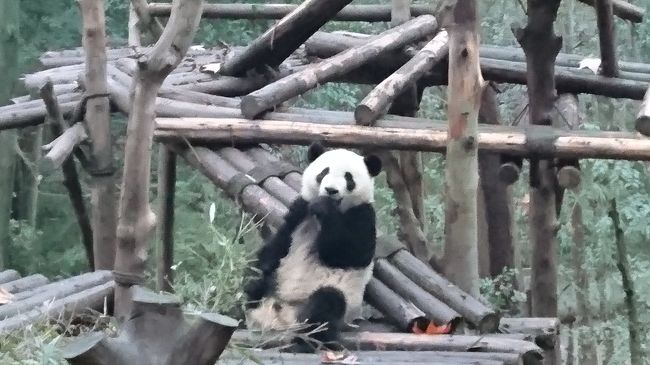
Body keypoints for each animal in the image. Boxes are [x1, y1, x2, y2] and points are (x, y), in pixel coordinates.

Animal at [246, 141, 382, 352]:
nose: (331, 190)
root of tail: (281, 320)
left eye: (348, 178)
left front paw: (325, 208)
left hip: (333, 301)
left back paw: (304, 343)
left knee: (326, 305)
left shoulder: (363, 215)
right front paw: (263, 265)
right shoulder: (301, 208)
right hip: (275, 286)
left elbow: (351, 253)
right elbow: (280, 242)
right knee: (255, 286)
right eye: (323, 172)